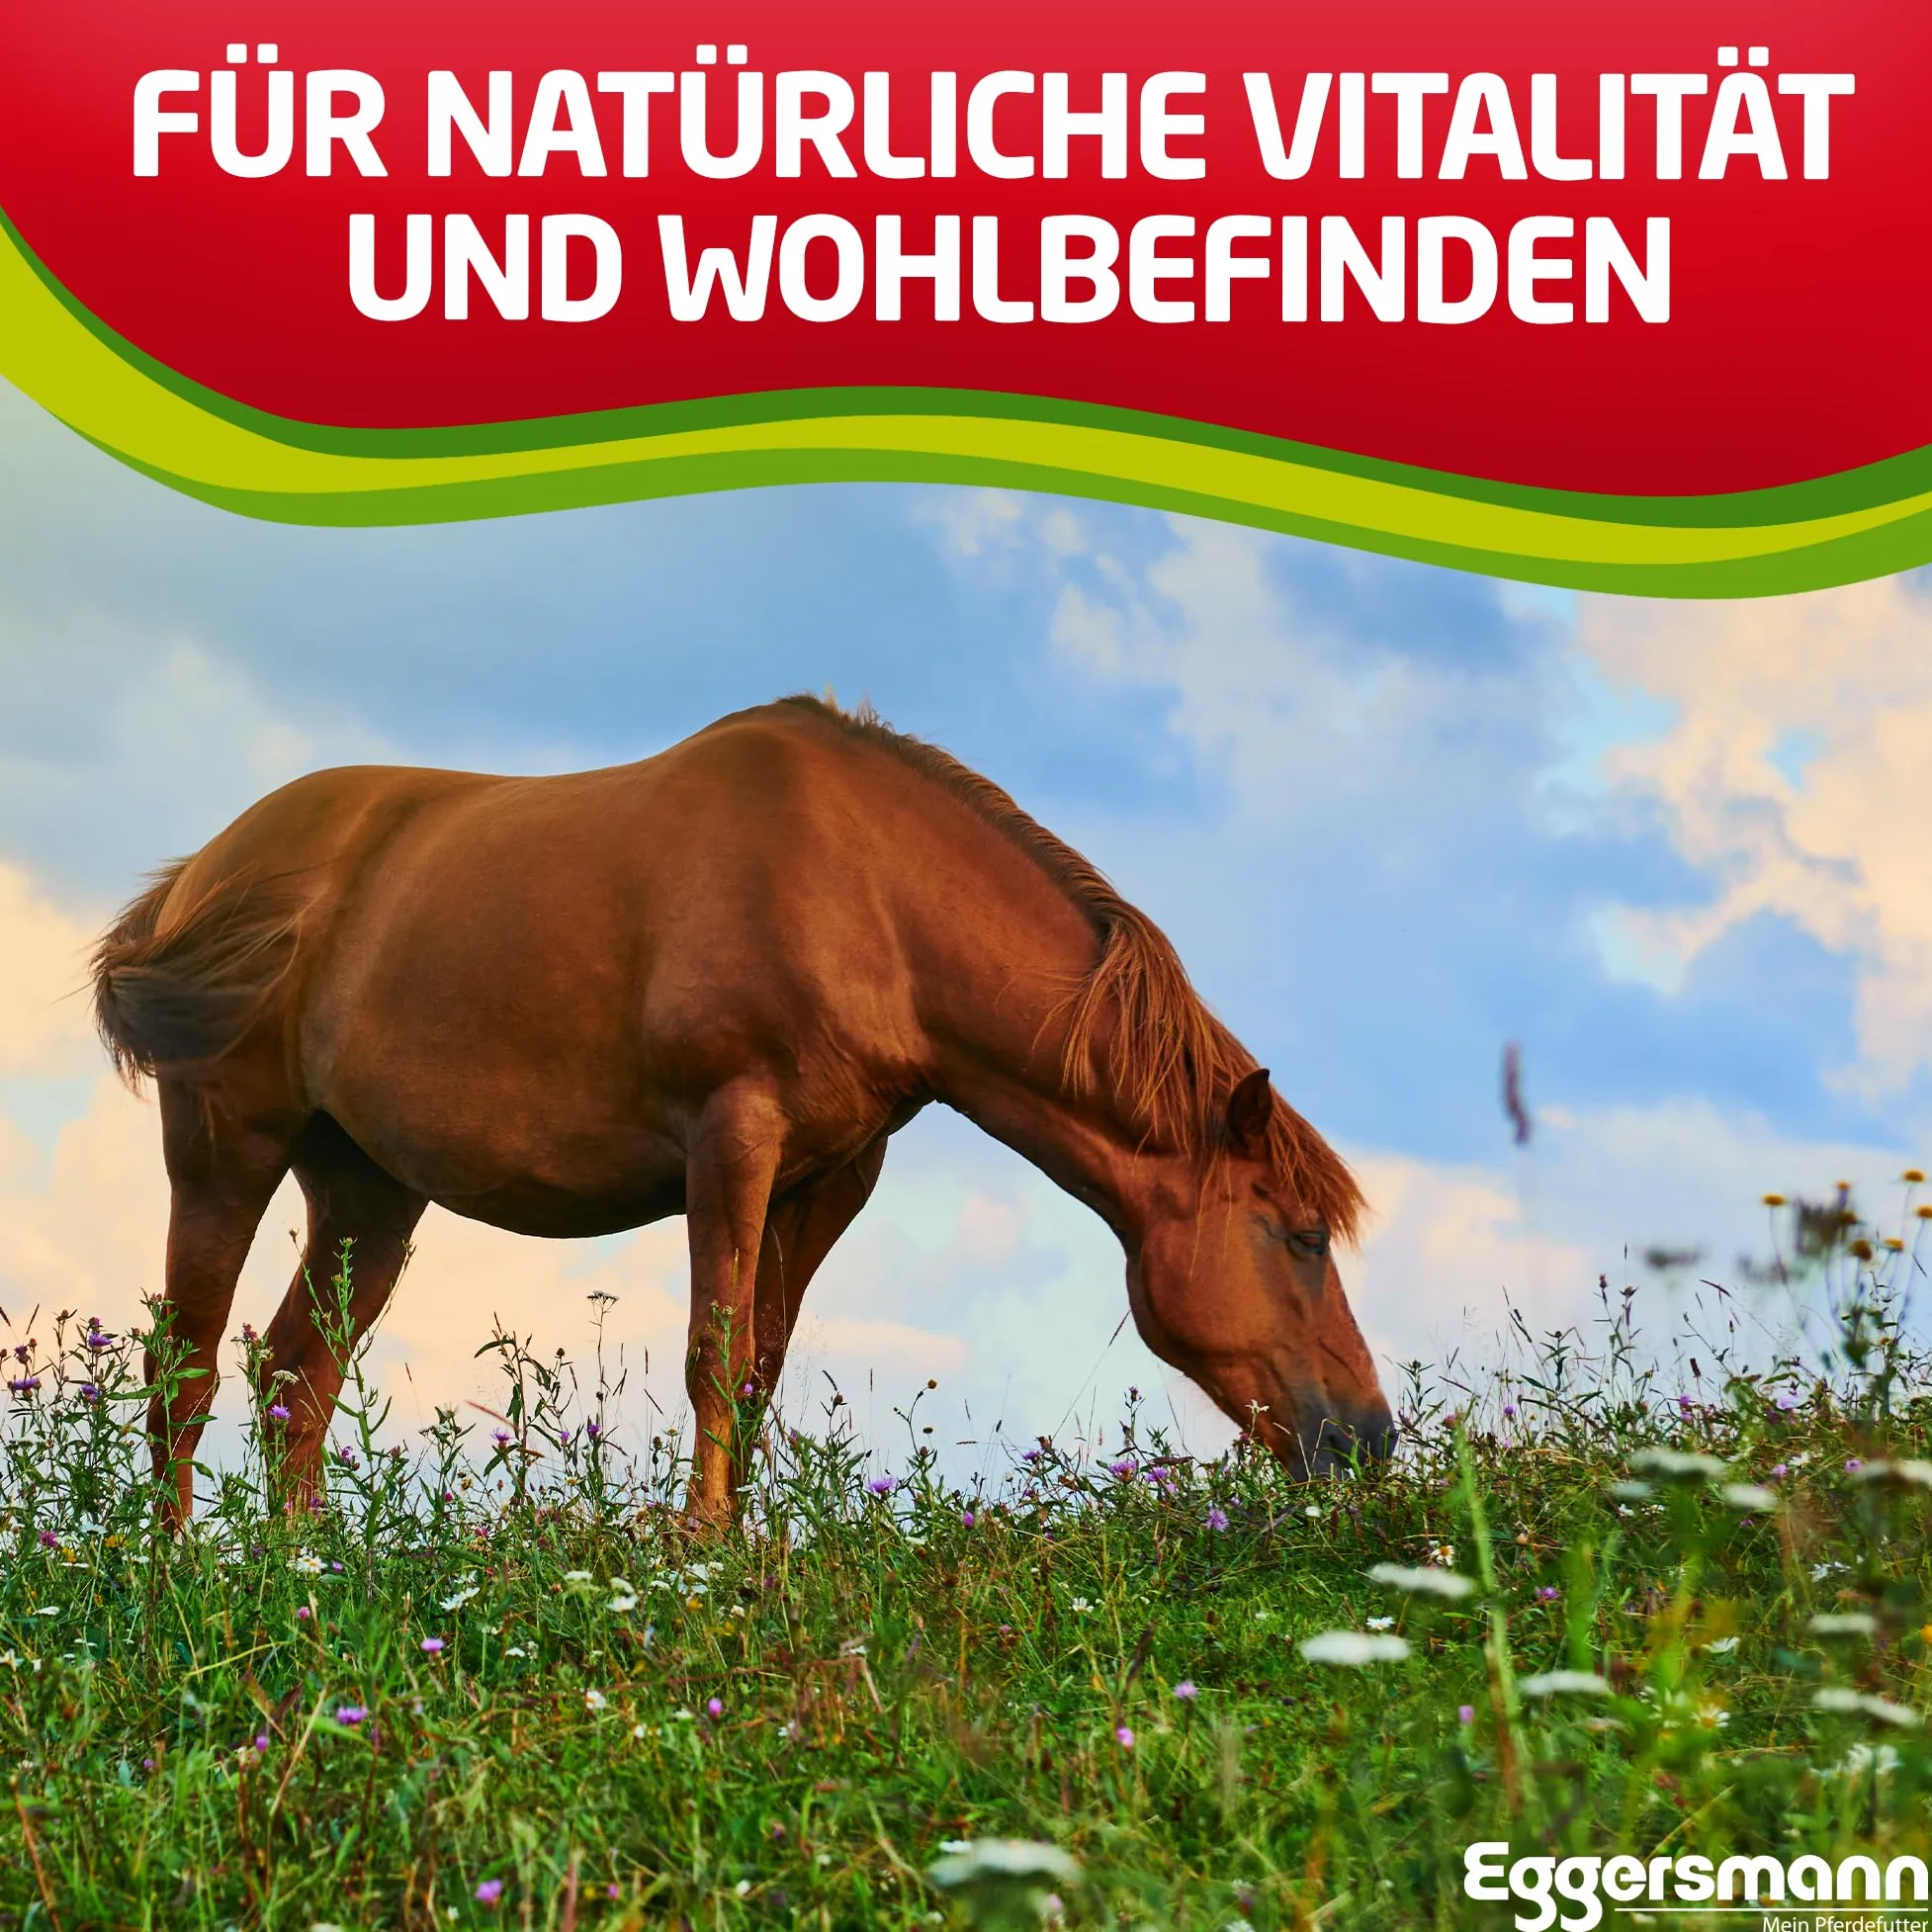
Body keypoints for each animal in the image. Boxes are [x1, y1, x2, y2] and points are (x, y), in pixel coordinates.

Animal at [91, 695, 1393, 1524]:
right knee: (184, 1369)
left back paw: (303, 1581)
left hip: (368, 1191)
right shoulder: (733, 1137)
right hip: (226, 1146)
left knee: (293, 1385)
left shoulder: (830, 1174)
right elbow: (713, 1354)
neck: (868, 897)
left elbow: (761, 1365)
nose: (1369, 1437)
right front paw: (700, 1551)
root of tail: (201, 876)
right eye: (1299, 1235)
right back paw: (177, 1581)